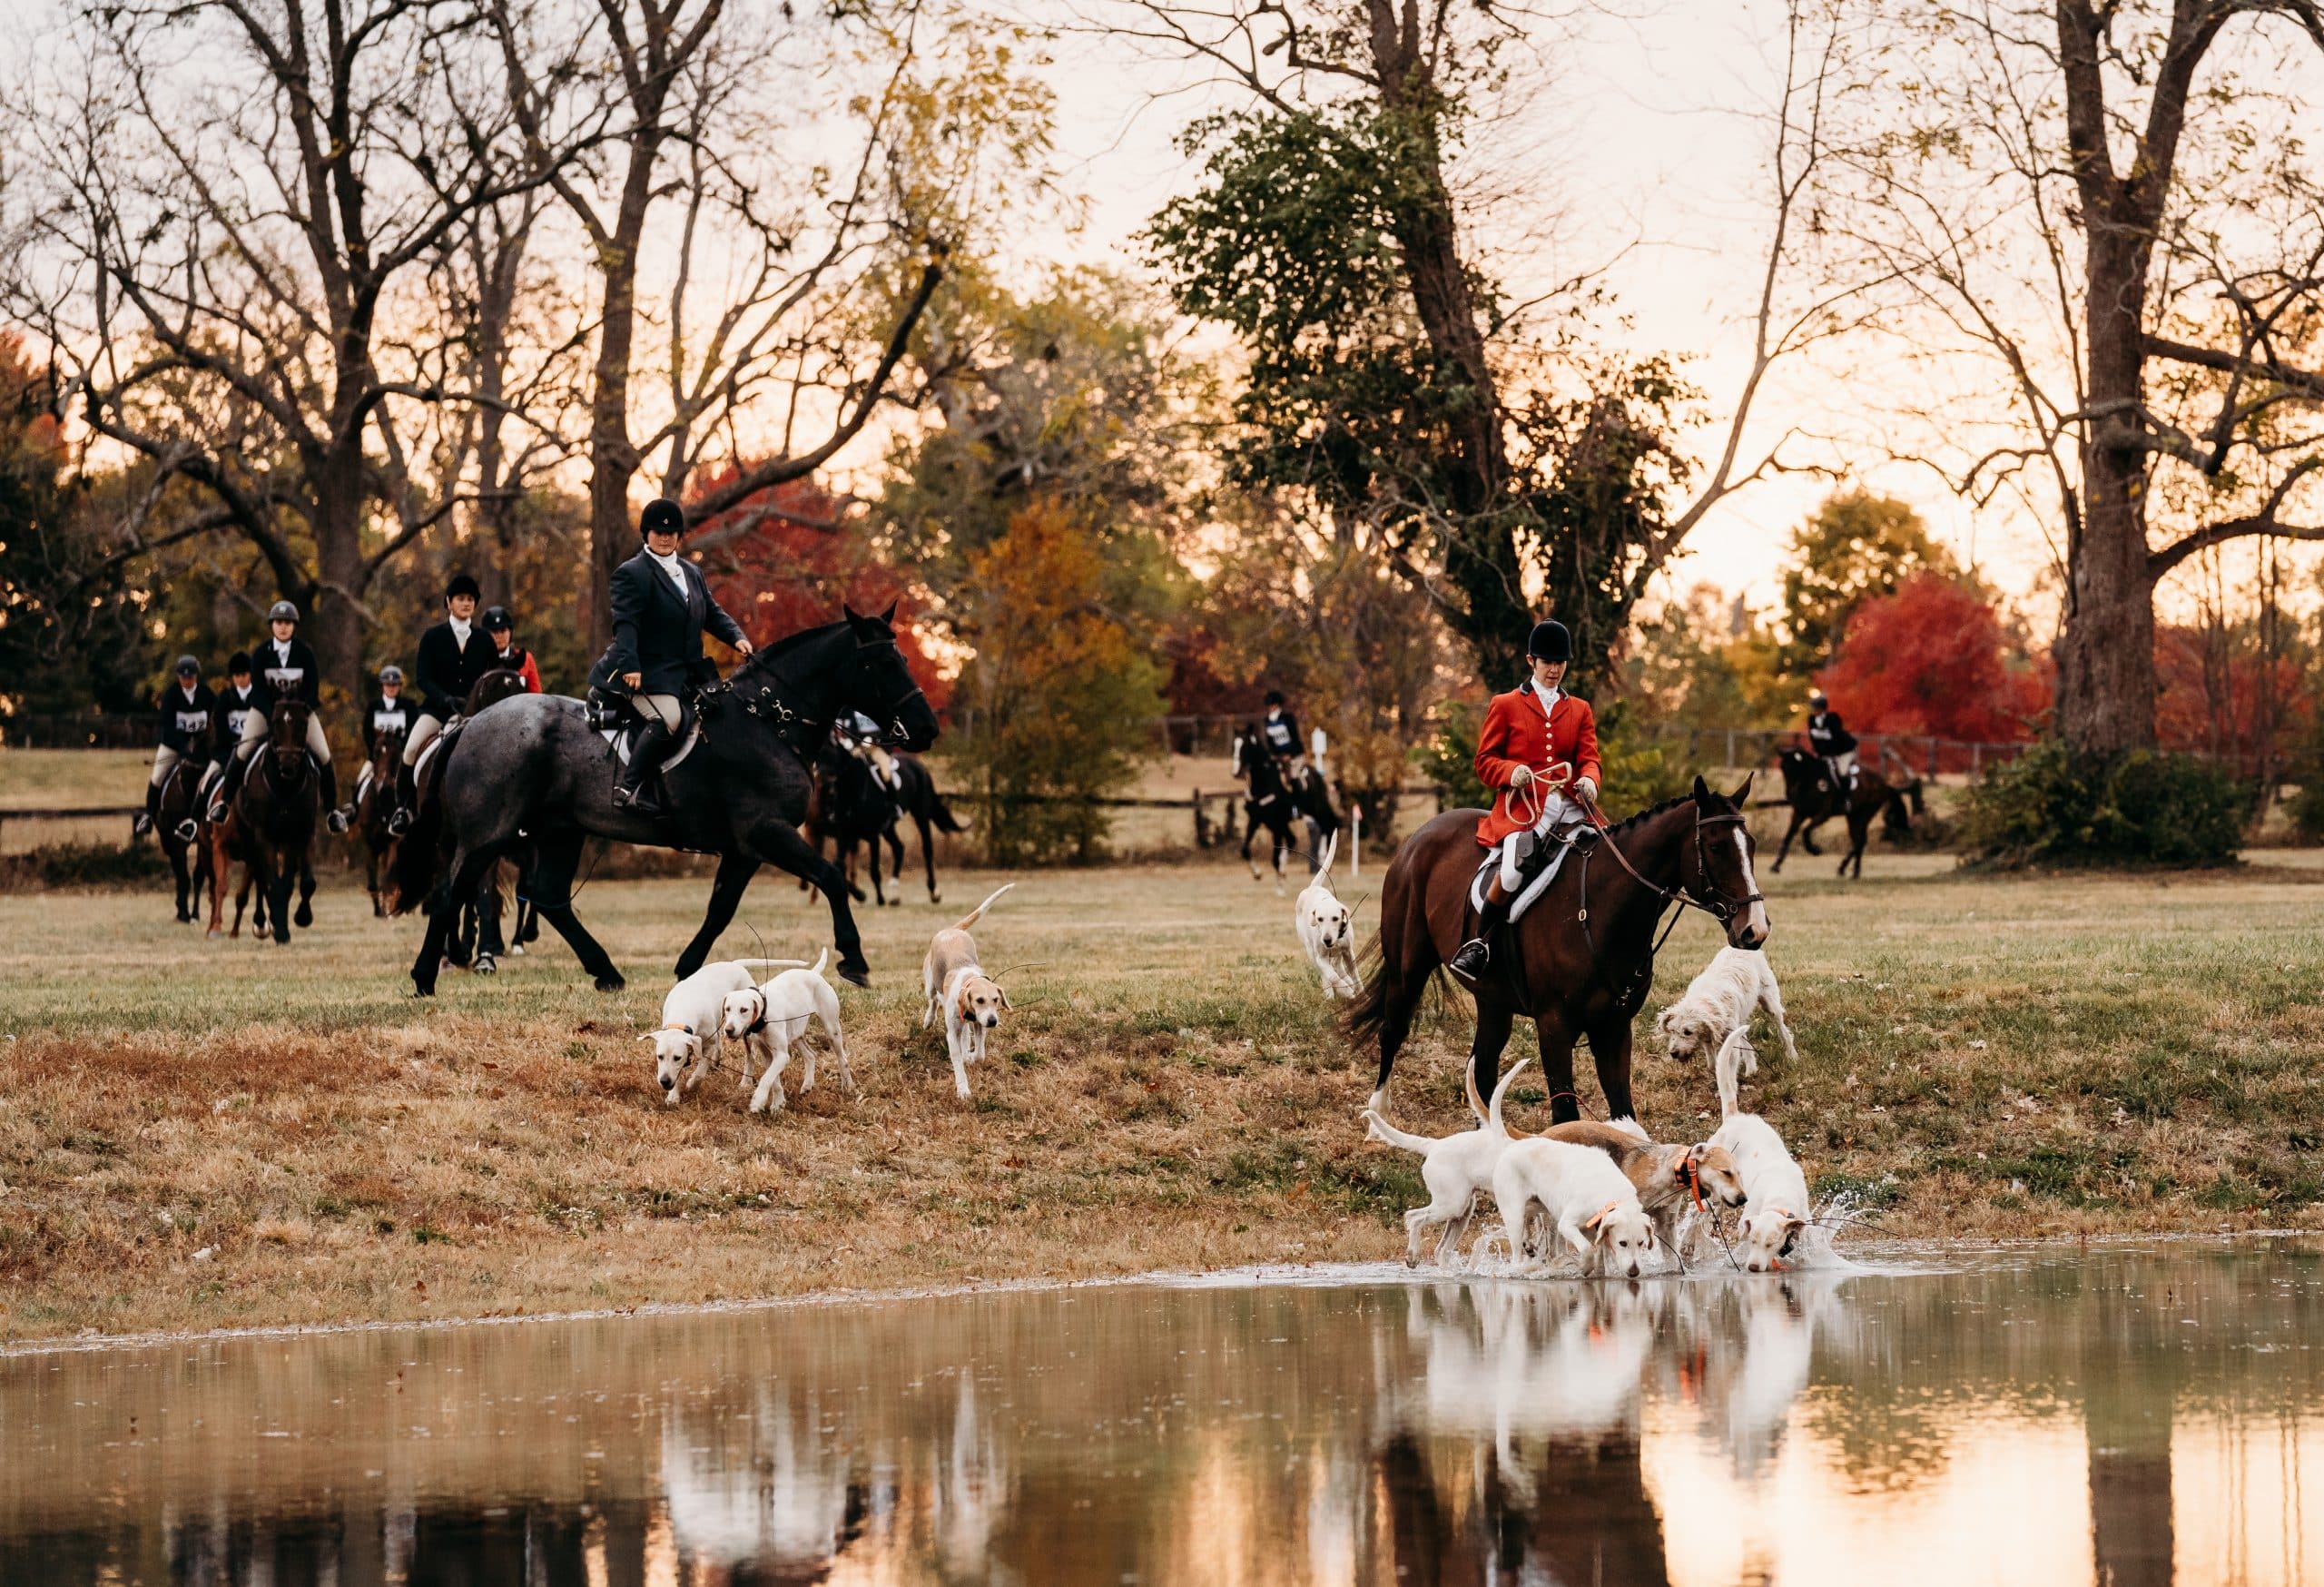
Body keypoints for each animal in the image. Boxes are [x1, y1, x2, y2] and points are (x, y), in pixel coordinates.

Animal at [395, 604, 939, 994]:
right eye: (879, 662)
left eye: (901, 659)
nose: (927, 729)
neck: (767, 721)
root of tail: (470, 723)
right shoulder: (768, 833)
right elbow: (830, 878)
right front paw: (855, 959)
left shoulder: (745, 849)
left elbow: (720, 910)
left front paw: (687, 968)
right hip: (488, 836)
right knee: (451, 893)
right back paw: (424, 977)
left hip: (559, 833)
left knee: (548, 898)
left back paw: (606, 972)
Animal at [1226, 729, 1338, 902]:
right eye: (1234, 745)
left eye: (1245, 746)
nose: (1236, 772)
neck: (1262, 783)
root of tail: (1316, 774)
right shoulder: (1256, 820)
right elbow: (1245, 849)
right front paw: (1258, 874)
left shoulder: (1277, 824)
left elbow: (1274, 858)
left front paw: (1279, 887)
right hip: (1284, 823)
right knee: (1293, 839)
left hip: (1318, 810)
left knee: (1328, 826)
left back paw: (1321, 858)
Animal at [1338, 780, 1766, 1129]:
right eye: (1716, 846)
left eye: (1752, 846)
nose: (1754, 930)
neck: (1598, 911)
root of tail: (1421, 835)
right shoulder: (1554, 1028)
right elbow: (1565, 1115)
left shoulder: (1614, 1027)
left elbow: (1623, 1112)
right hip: (1407, 967)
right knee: (1394, 1029)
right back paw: (1378, 1114)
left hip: (1493, 1000)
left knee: (1482, 1068)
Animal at [1775, 748, 1924, 882]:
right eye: (1783, 768)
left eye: (1795, 769)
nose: (1789, 794)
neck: (1811, 783)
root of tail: (1884, 785)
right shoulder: (1799, 814)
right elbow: (1788, 836)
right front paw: (1776, 865)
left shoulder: (1823, 815)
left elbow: (1805, 831)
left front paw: (1815, 850)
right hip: (1853, 816)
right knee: (1859, 841)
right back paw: (1846, 869)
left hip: (1864, 814)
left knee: (1859, 841)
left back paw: (1851, 870)